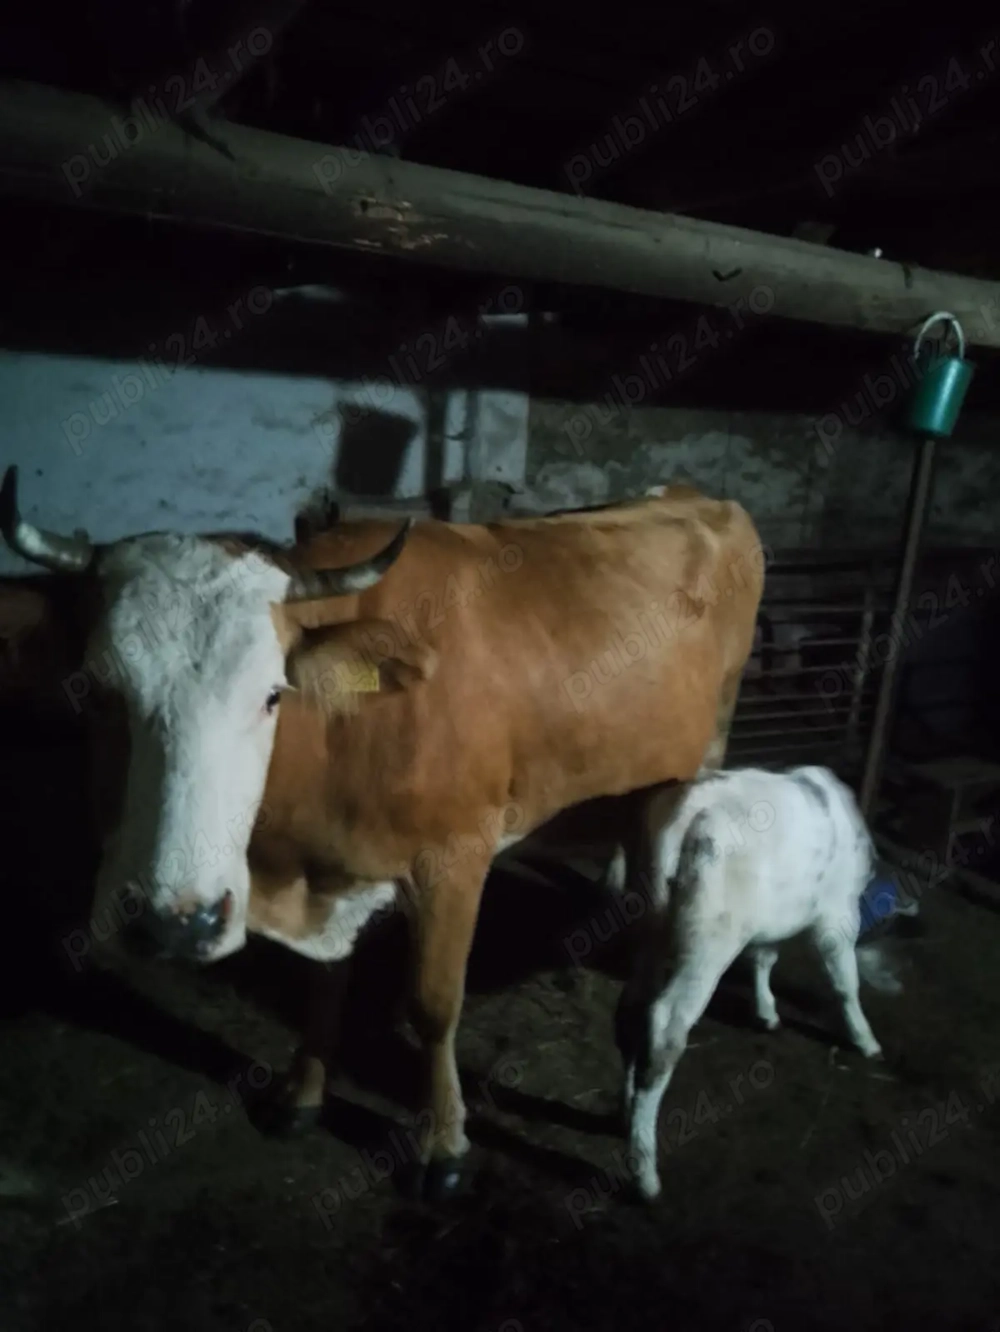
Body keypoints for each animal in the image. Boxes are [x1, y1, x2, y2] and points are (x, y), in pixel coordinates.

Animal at [0, 466, 764, 1198]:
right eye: (93, 689)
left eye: (272, 693)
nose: (174, 920)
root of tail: (693, 495)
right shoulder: (323, 872)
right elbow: (323, 984)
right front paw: (301, 1095)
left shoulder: (456, 860)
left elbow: (433, 1007)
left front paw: (443, 1147)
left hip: (714, 736)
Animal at [614, 764, 885, 1202]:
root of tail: (685, 808)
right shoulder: (838, 914)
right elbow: (845, 981)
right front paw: (866, 1039)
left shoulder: (771, 922)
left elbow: (764, 958)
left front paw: (766, 1012)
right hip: (709, 943)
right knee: (665, 1026)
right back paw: (645, 1175)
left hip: (648, 931)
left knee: (630, 1009)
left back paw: (626, 1110)